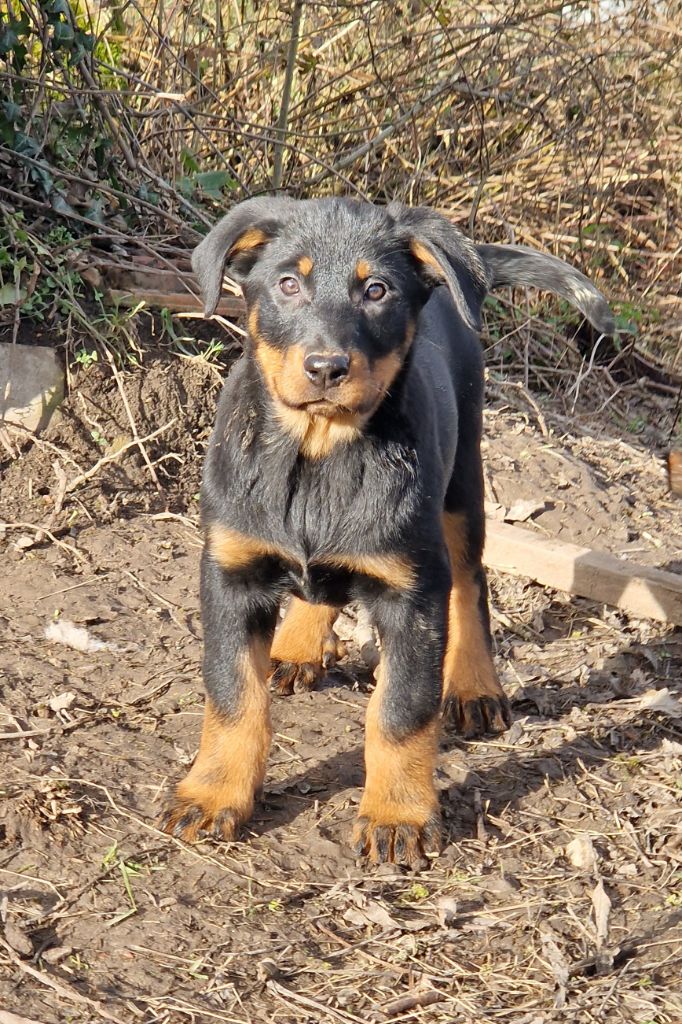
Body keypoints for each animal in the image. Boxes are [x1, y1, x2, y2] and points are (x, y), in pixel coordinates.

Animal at [161, 197, 614, 864]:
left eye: (377, 291)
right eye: (288, 284)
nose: (326, 367)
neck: (318, 453)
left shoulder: (411, 596)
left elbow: (400, 710)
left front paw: (396, 814)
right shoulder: (230, 574)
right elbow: (233, 693)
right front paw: (214, 793)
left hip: (462, 482)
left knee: (470, 582)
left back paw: (475, 687)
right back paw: (298, 645)